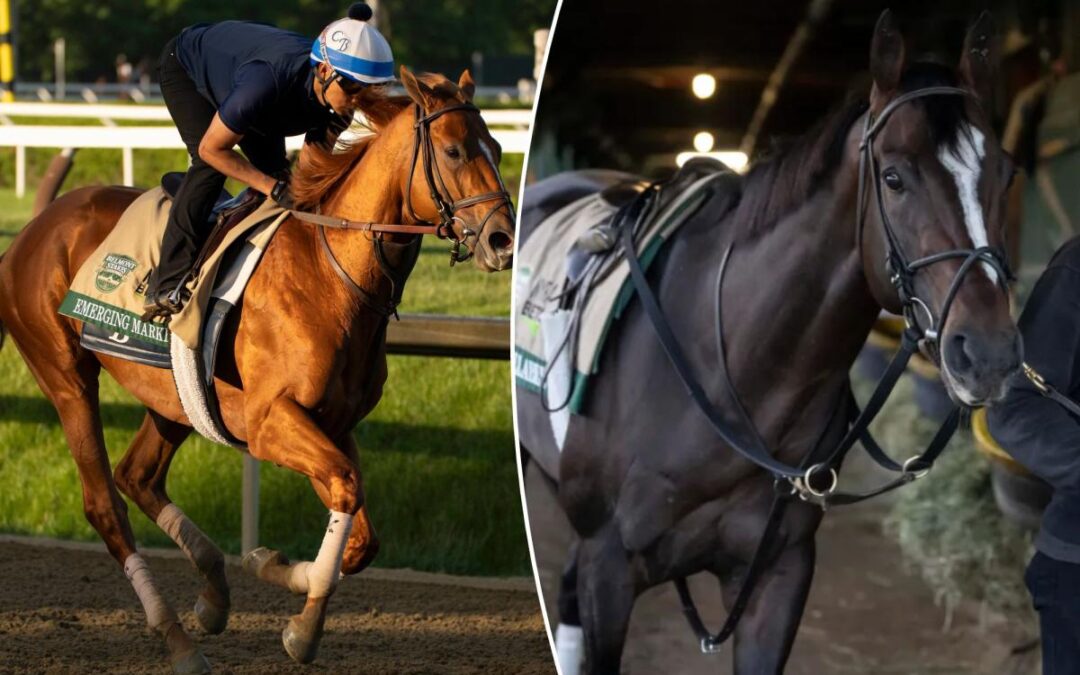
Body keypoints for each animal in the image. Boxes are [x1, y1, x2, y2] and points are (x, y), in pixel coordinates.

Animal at [0, 67, 514, 674]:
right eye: (454, 150)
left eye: (498, 148)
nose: (503, 239)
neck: (331, 271)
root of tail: (35, 227)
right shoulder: (271, 423)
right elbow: (345, 488)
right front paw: (304, 627)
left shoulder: (332, 423)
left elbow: (360, 529)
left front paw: (271, 566)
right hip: (66, 377)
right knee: (105, 504)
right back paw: (178, 639)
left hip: (174, 398)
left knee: (138, 476)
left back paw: (213, 594)